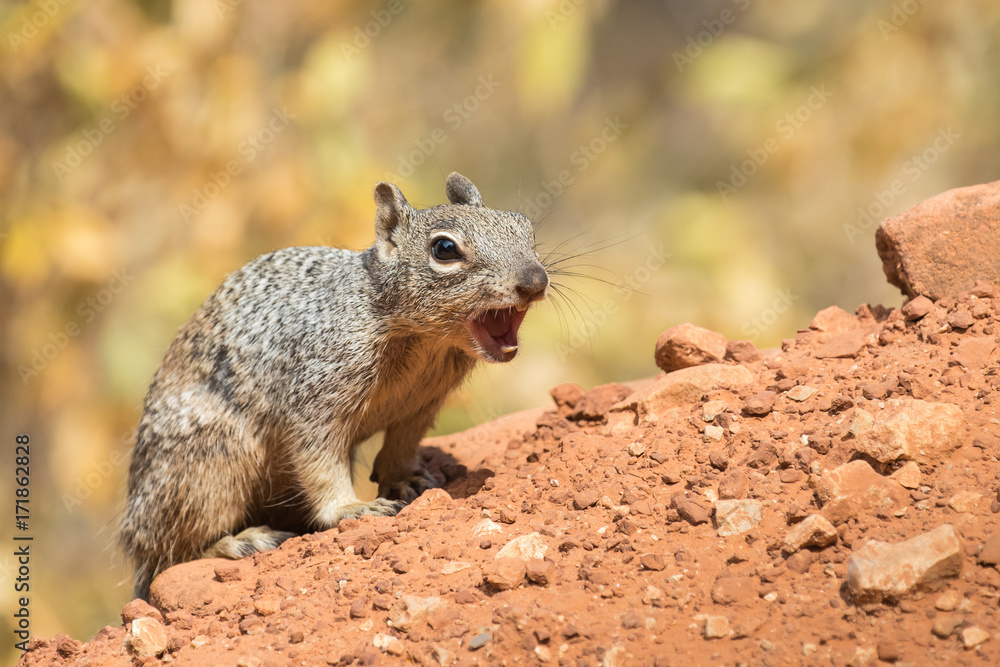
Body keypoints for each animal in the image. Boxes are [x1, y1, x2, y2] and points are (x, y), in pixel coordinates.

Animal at [118, 172, 549, 600]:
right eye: (444, 249)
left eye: (524, 226)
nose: (535, 281)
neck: (425, 340)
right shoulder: (315, 400)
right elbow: (319, 462)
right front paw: (351, 509)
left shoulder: (421, 405)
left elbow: (402, 445)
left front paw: (405, 479)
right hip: (210, 470)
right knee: (172, 554)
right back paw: (241, 541)